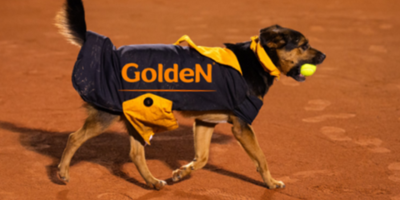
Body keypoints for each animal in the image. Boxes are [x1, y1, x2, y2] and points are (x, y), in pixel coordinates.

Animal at [55, 0, 324, 190]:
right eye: (303, 45)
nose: (324, 56)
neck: (259, 59)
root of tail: (106, 52)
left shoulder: (205, 121)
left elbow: (202, 158)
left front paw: (182, 173)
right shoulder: (242, 126)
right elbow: (261, 159)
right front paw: (271, 183)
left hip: (138, 119)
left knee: (135, 154)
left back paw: (152, 182)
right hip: (107, 115)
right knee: (74, 138)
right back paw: (63, 173)